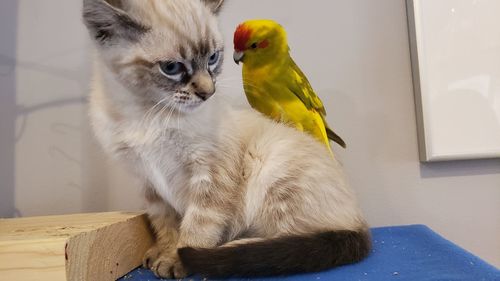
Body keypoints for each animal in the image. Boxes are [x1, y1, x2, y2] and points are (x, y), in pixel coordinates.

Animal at [83, 0, 372, 276]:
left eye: (213, 58)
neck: (147, 112)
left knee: (292, 240)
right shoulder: (149, 184)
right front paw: (162, 252)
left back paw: (230, 247)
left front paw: (176, 259)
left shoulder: (209, 175)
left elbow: (196, 226)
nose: (207, 92)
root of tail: (360, 220)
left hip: (272, 176)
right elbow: (165, 226)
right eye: (172, 67)